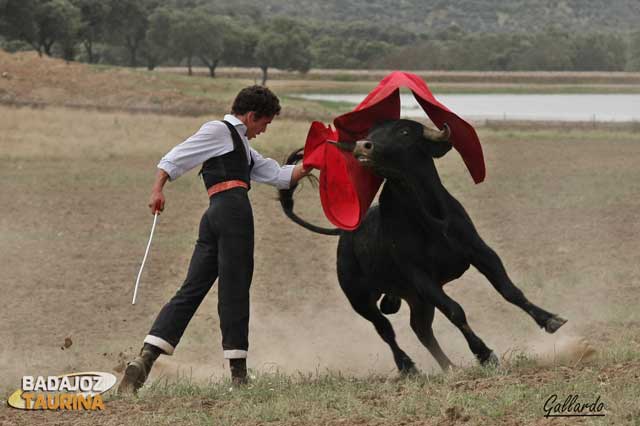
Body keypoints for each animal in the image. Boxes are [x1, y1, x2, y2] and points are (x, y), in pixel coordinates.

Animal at [280, 120, 564, 372]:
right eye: (371, 131)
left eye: (404, 131)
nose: (363, 146)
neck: (431, 220)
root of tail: (346, 234)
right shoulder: (421, 276)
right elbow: (455, 310)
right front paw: (484, 354)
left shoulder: (481, 253)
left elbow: (510, 290)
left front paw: (550, 319)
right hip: (360, 298)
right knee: (385, 329)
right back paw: (408, 366)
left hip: (416, 299)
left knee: (421, 329)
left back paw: (449, 367)